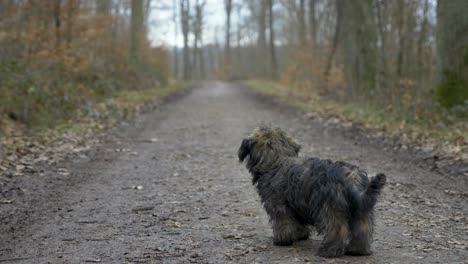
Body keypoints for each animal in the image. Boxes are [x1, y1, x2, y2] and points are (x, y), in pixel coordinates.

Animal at [239, 126, 386, 258]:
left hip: (330, 208)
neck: (276, 161)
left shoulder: (278, 205)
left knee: (337, 229)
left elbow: (283, 223)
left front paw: (282, 240)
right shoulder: (297, 205)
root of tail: (352, 177)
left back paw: (329, 251)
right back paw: (357, 250)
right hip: (361, 210)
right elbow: (298, 223)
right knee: (363, 229)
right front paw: (300, 235)